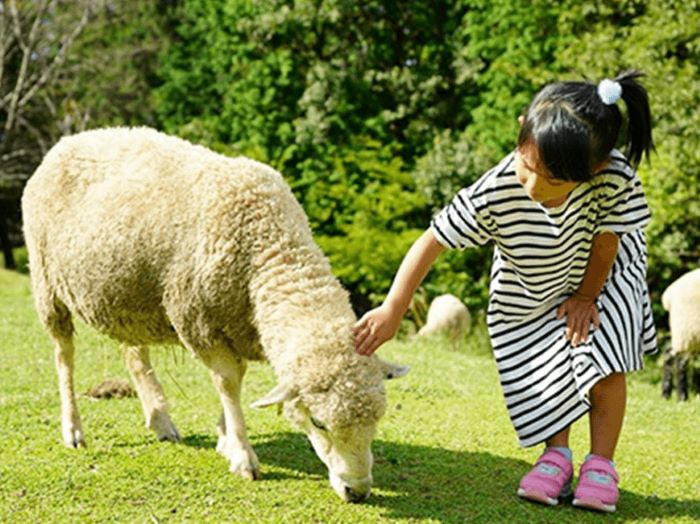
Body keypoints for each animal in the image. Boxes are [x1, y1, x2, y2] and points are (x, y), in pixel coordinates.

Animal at [21, 125, 408, 502]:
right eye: (318, 422)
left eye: (376, 420)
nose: (357, 492)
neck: (269, 243)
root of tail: (67, 141)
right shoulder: (197, 322)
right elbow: (228, 381)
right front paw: (241, 454)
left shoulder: (239, 325)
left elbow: (236, 379)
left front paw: (225, 437)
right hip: (47, 284)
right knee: (64, 356)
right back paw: (73, 429)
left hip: (127, 298)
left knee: (133, 355)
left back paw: (160, 420)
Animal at [660, 268, 700, 400]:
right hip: (686, 329)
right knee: (681, 362)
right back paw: (681, 396)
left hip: (687, 334)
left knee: (668, 352)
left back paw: (666, 394)